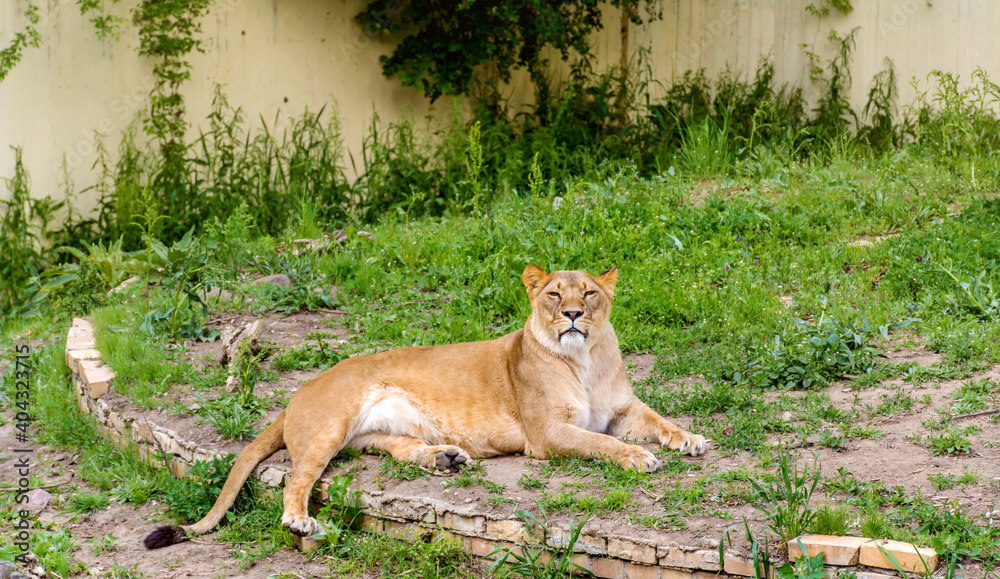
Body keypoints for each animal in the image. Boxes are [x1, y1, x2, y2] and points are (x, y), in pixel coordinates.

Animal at [144, 265, 707, 548]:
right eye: (553, 294)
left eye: (589, 293)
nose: (571, 314)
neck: (584, 359)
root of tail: (296, 393)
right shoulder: (548, 434)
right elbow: (599, 443)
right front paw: (638, 457)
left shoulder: (624, 409)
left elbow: (659, 421)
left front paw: (691, 439)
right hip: (329, 426)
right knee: (296, 479)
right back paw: (303, 524)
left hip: (369, 433)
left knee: (392, 447)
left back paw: (445, 458)